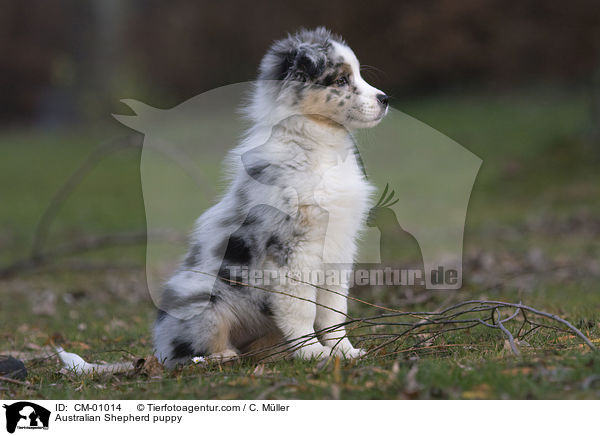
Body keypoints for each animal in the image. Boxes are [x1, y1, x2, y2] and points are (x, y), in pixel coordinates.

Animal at [155, 27, 390, 368]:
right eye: (341, 80)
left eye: (358, 74)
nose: (385, 99)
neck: (319, 147)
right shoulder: (293, 252)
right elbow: (302, 308)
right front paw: (312, 352)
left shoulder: (339, 248)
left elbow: (334, 310)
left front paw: (344, 351)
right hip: (201, 298)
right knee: (192, 350)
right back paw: (221, 356)